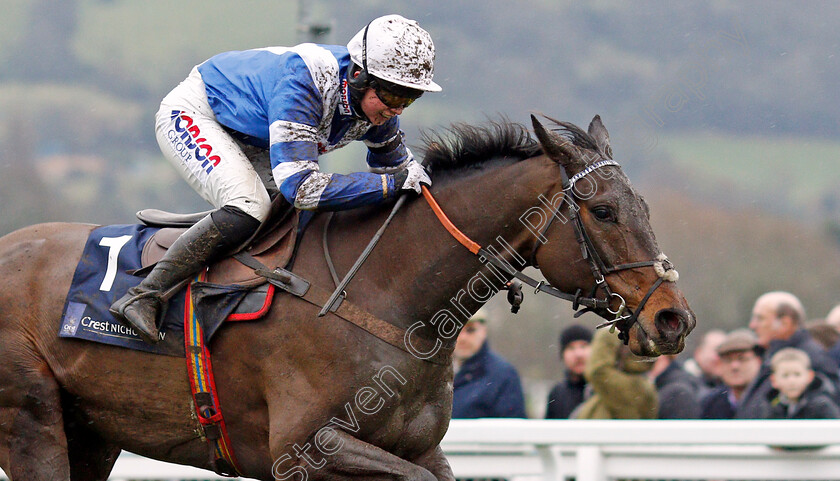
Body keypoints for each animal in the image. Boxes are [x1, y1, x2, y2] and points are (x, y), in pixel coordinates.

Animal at [0, 114, 696, 478]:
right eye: (603, 211)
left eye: (644, 206)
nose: (673, 319)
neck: (390, 295)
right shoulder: (305, 450)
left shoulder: (421, 446)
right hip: (31, 418)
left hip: (93, 432)